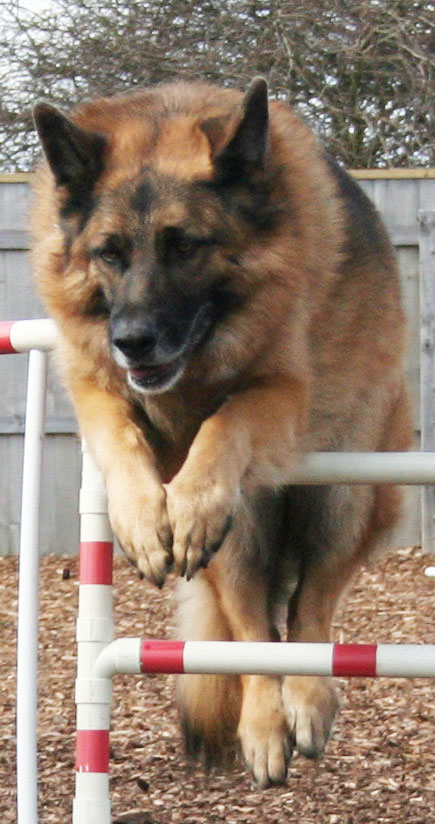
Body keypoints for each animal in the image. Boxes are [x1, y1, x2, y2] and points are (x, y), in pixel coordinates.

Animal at [31, 80, 412, 788]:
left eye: (185, 246)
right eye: (109, 253)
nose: (133, 341)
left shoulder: (281, 390)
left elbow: (225, 419)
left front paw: (192, 493)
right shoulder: (93, 382)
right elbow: (119, 434)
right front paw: (142, 519)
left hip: (346, 491)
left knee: (311, 610)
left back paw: (307, 702)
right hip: (238, 542)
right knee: (257, 634)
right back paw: (263, 726)